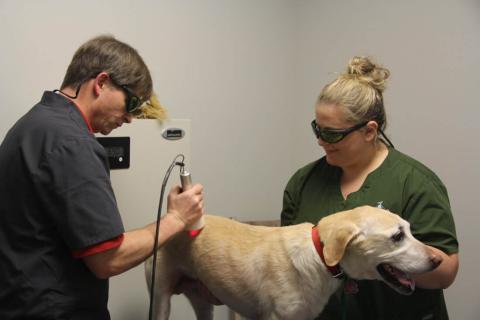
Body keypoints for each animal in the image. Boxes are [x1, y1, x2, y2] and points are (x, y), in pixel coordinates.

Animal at [146, 206, 442, 318]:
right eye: (397, 236)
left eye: (410, 230)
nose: (438, 259)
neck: (320, 257)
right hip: (159, 299)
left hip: (202, 302)